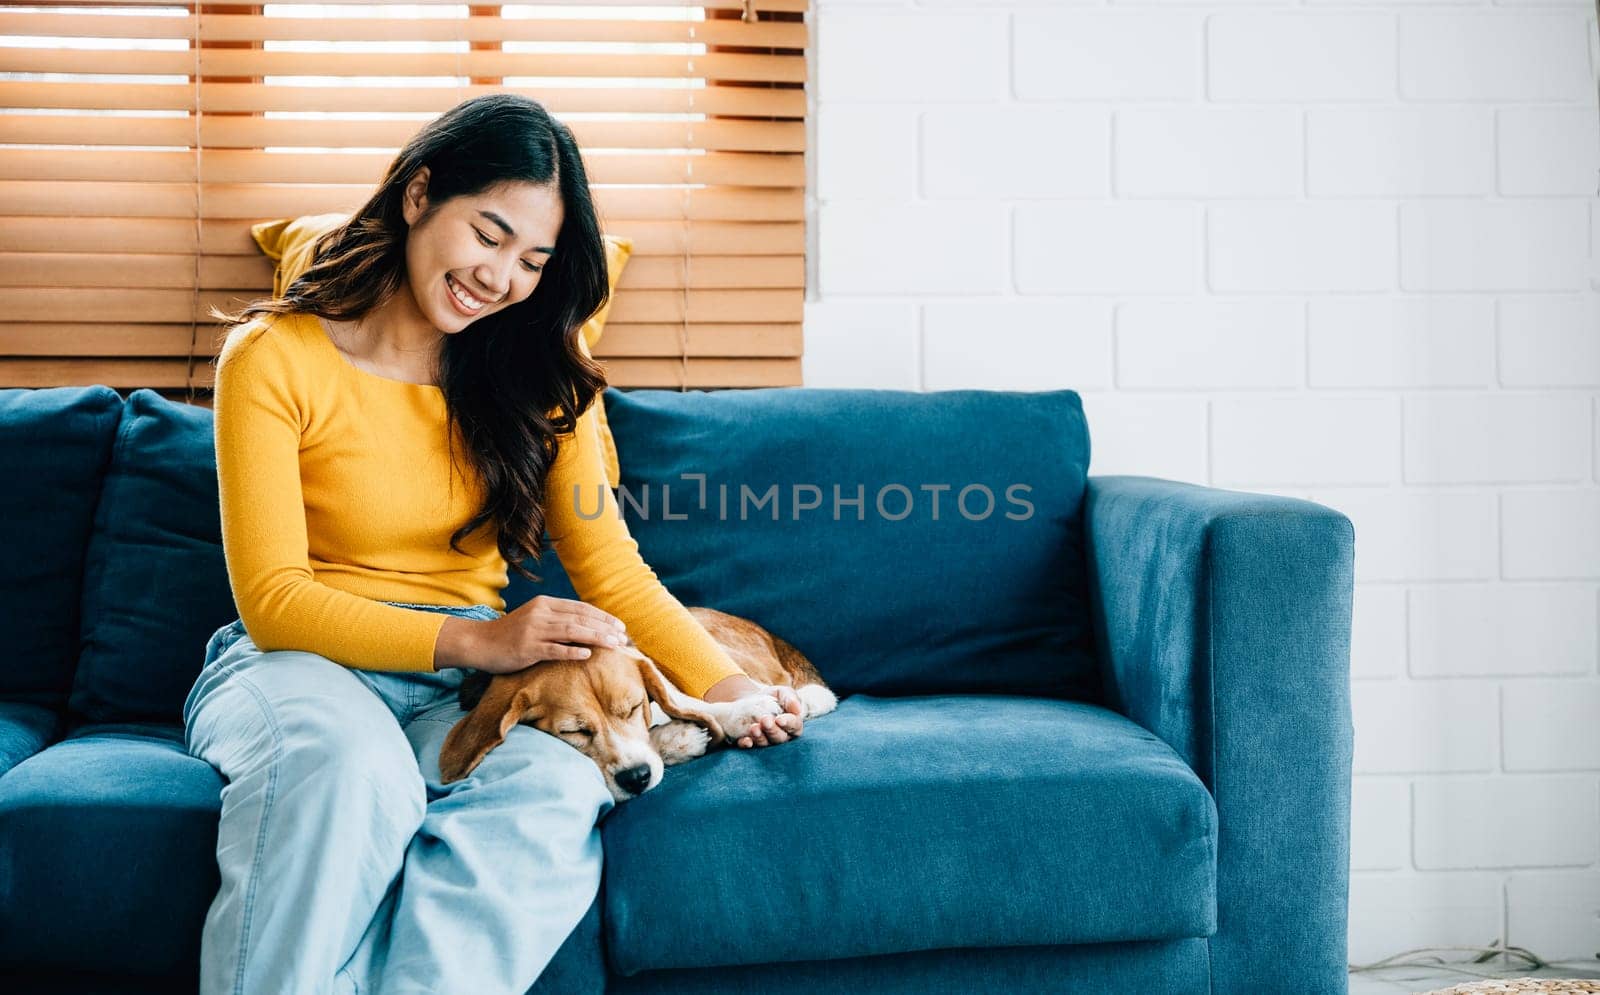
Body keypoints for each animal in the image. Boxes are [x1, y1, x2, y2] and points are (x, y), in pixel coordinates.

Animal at [438, 607, 838, 803]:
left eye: (632, 707)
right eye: (573, 732)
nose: (636, 779)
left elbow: (695, 704)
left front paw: (743, 713)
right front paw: (679, 739)